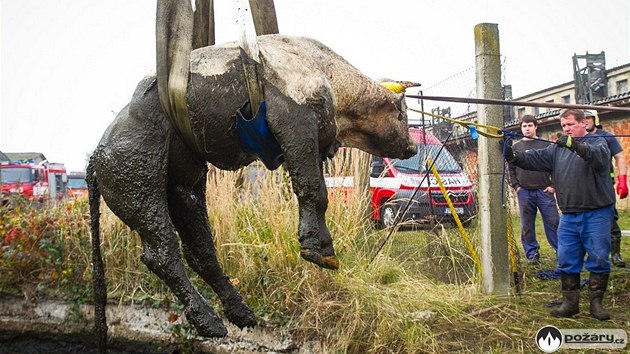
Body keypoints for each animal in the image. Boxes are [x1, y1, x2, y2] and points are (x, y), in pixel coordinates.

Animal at [86, 11, 418, 352]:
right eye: (403, 114)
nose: (413, 147)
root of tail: (96, 155)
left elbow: (317, 189)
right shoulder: (294, 124)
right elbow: (312, 188)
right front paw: (316, 249)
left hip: (185, 187)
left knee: (201, 251)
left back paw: (240, 313)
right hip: (141, 188)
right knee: (161, 253)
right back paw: (210, 321)